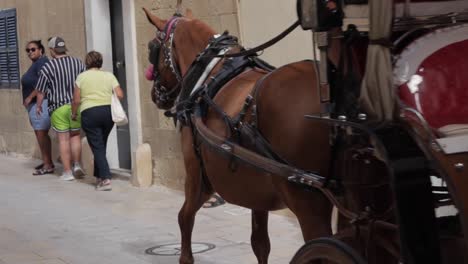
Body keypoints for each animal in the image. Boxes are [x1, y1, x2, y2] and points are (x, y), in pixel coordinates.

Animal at [143, 5, 348, 262]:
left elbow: (184, 218)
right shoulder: (256, 191)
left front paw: (185, 258)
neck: (211, 71)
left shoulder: (196, 175)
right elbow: (260, 243)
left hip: (308, 201)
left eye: (152, 48)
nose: (155, 95)